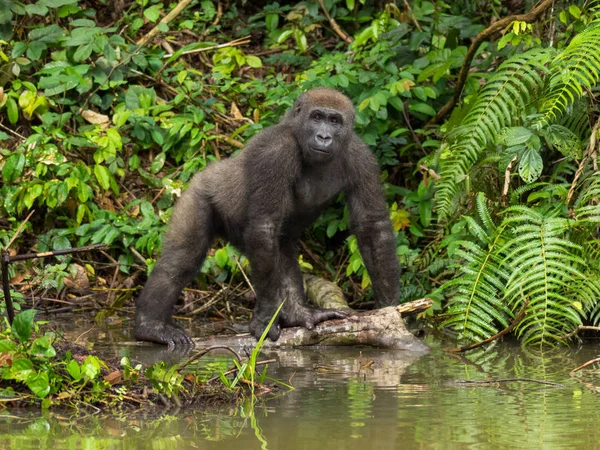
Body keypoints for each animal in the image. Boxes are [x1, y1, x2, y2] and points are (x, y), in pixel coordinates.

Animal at [134, 89, 400, 348]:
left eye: (335, 121)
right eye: (316, 117)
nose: (324, 137)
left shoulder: (362, 157)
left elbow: (372, 226)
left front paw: (389, 306)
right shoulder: (276, 151)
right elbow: (264, 225)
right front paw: (265, 318)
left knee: (280, 251)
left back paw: (297, 313)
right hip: (198, 191)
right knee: (182, 258)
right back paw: (151, 326)